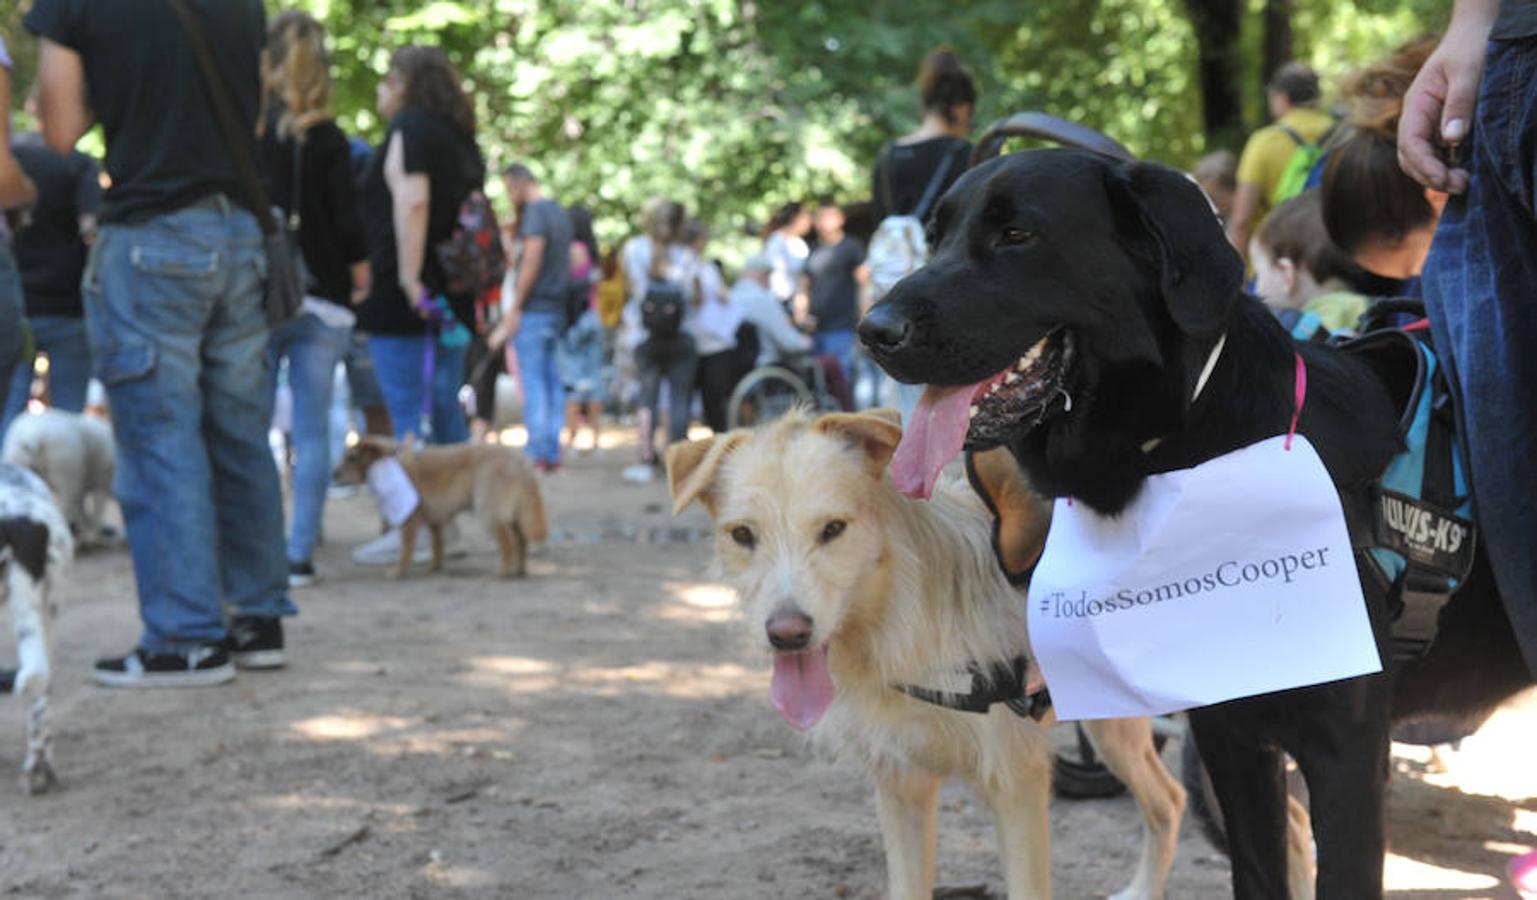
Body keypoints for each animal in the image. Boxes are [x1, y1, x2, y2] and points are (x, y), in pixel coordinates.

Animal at [2, 408, 115, 543]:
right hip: (65, 467)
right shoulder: (101, 480)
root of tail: (33, 436)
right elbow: (96, 507)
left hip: (17, 459)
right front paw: (92, 535)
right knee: (64, 504)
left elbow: (81, 507)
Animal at [335, 439, 547, 577]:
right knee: (521, 541)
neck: (385, 465)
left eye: (351, 458)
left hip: (489, 511)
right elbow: (437, 545)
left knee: (507, 543)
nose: (333, 473)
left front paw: (398, 570)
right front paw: (435, 567)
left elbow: (406, 549)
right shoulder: (435, 520)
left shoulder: (409, 522)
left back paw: (503, 572)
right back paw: (520, 569)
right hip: (515, 515)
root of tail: (521, 463)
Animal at [667, 408, 1180, 896]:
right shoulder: (900, 781)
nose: (787, 634)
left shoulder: (1017, 780)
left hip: (1112, 726)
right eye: (742, 535)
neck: (901, 622)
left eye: (833, 529)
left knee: (1170, 800)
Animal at [860, 148, 1530, 896]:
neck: (1185, 443)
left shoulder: (1346, 754)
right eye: (936, 234)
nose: (873, 329)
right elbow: (1259, 873)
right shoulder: (1230, 739)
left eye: (1017, 235)